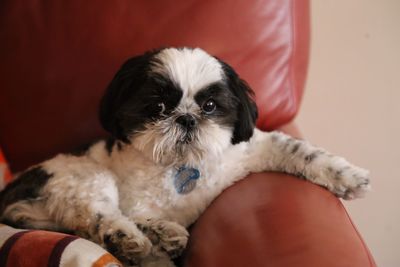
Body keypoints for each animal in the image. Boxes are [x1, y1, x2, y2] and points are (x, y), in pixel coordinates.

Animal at [0, 47, 370, 266]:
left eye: (210, 105)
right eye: (158, 107)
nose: (187, 118)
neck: (180, 165)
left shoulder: (248, 151)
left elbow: (299, 150)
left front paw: (349, 177)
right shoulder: (134, 201)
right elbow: (133, 215)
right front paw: (154, 234)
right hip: (83, 176)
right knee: (99, 217)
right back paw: (134, 238)